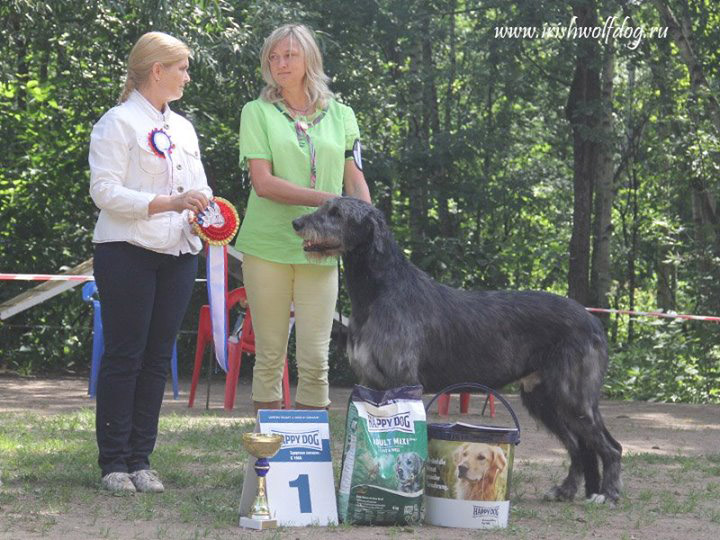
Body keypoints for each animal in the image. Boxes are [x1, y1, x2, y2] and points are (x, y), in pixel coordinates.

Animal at [290, 196, 620, 504]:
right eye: (324, 206)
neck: (378, 291)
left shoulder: (403, 379)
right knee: (580, 447)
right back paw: (571, 491)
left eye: (337, 213)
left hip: (572, 396)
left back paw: (607, 494)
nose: (297, 223)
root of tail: (593, 320)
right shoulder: (369, 382)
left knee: (610, 446)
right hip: (542, 398)